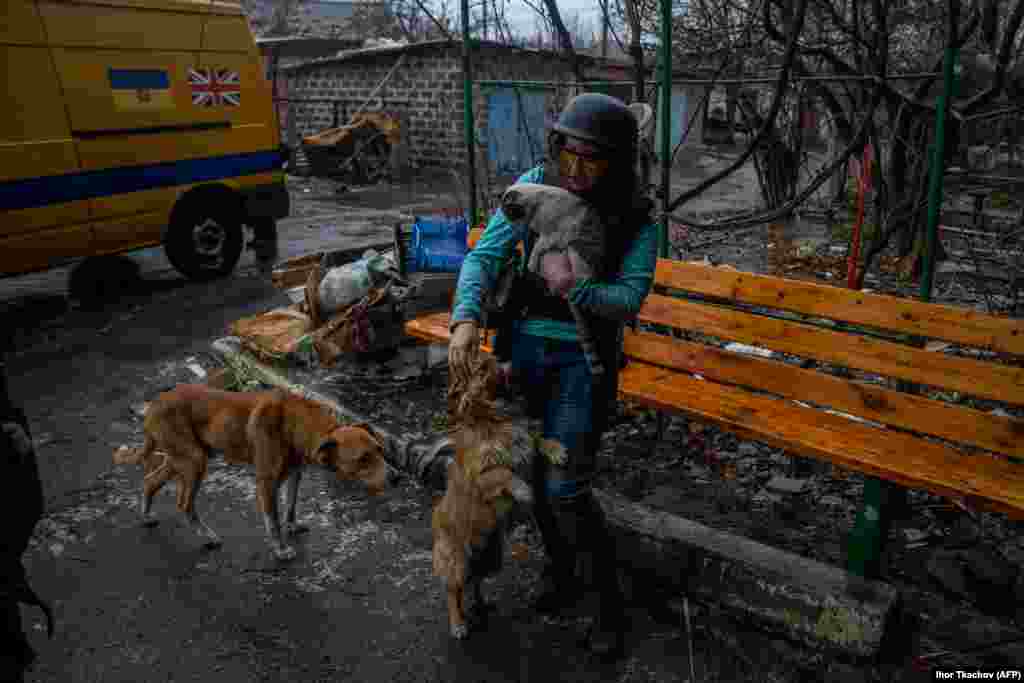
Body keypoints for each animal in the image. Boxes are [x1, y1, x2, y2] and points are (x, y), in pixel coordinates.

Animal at [114, 385, 389, 561]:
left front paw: (292, 525)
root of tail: (153, 406)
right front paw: (280, 550)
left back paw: (146, 516)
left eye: (379, 449)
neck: (295, 424)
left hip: (182, 459)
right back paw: (208, 537)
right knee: (183, 503)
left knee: (150, 480)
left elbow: (291, 505)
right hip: (194, 461)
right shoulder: (266, 482)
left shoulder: (294, 474)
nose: (395, 478)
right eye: (363, 459)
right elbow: (273, 520)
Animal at [428, 358, 565, 643]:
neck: (496, 418)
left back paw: (480, 605)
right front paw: (524, 491)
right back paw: (458, 623)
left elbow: (535, 438)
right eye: (481, 369)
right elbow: (504, 473)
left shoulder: (525, 442)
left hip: (492, 558)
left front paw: (554, 447)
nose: (503, 361)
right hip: (456, 561)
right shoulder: (482, 476)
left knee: (474, 582)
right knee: (453, 592)